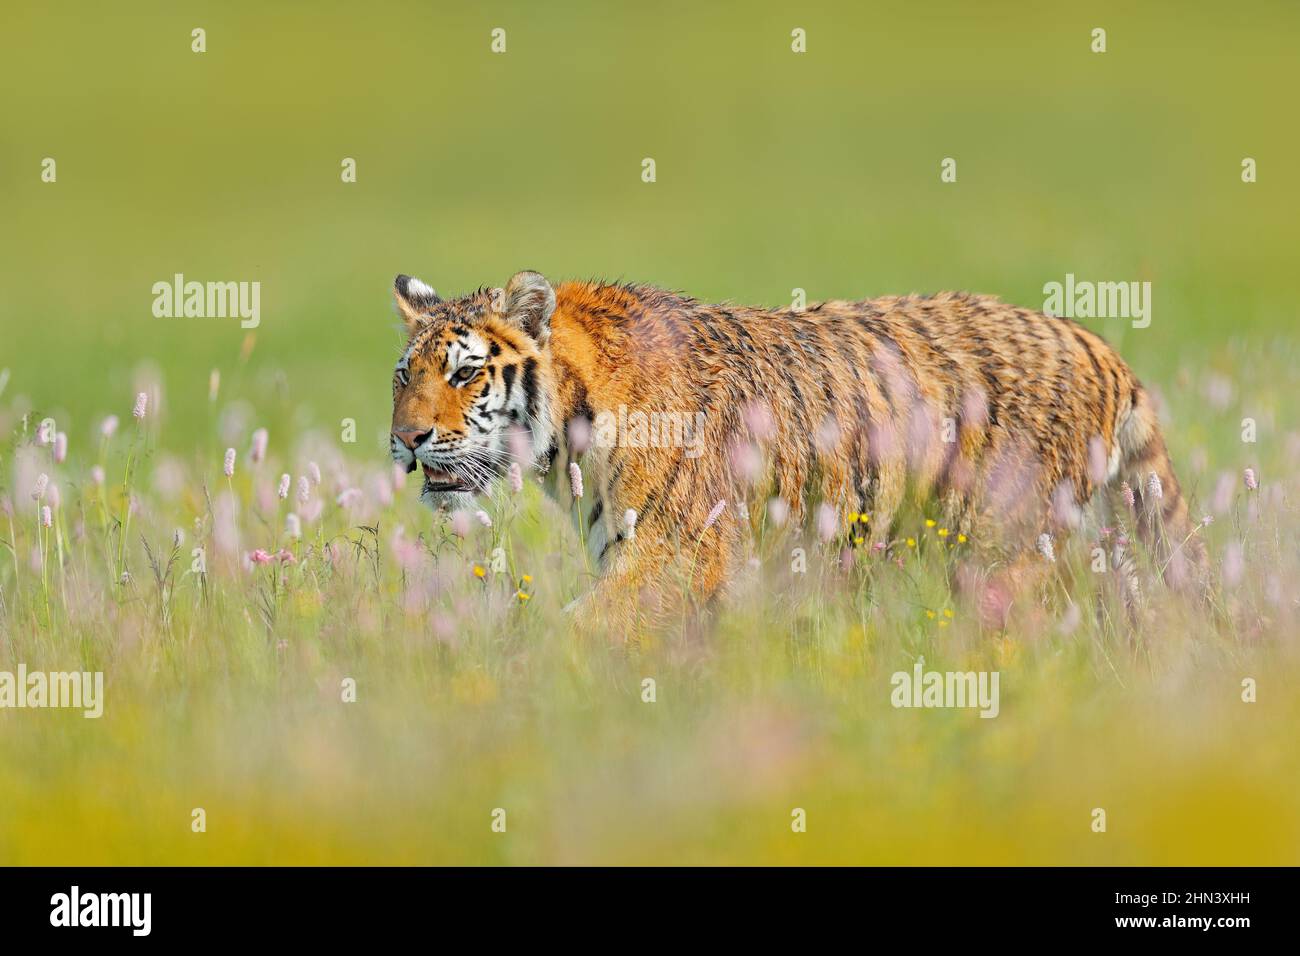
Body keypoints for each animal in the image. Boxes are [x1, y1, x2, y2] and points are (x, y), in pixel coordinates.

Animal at [388, 270, 1207, 629]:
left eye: (463, 373)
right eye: (405, 375)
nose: (405, 440)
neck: (570, 444)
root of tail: (1096, 343)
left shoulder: (671, 559)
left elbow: (569, 634)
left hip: (1007, 549)